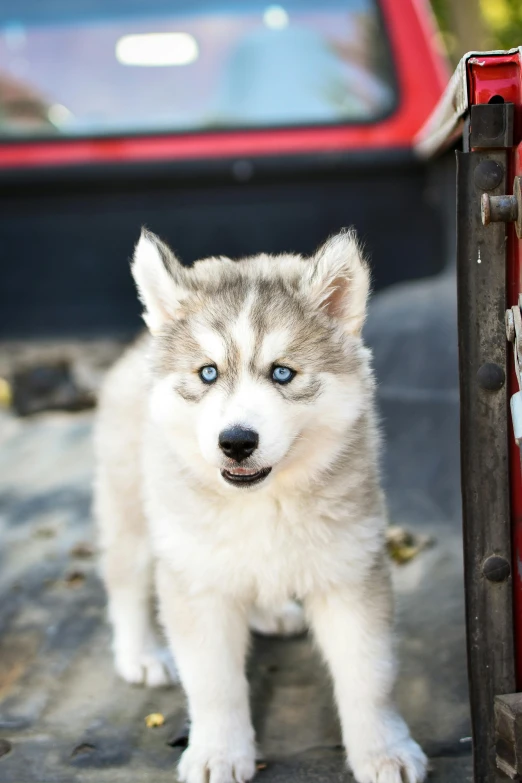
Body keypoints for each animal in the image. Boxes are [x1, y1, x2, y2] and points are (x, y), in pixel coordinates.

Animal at [94, 231, 426, 783]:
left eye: (283, 373)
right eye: (208, 373)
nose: (236, 442)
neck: (262, 505)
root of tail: (140, 342)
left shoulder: (351, 573)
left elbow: (369, 676)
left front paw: (384, 750)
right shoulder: (197, 581)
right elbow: (214, 684)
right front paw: (218, 752)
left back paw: (272, 611)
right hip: (133, 514)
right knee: (126, 584)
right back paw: (140, 654)